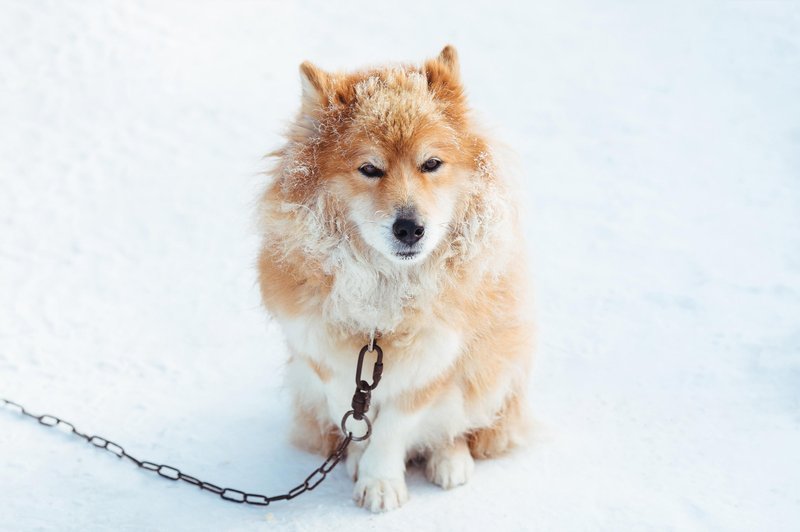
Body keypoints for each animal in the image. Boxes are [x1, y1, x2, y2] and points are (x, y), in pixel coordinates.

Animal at [258, 45, 532, 512]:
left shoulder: (433, 363)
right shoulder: (321, 356)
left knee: (459, 427)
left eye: (431, 164)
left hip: (490, 368)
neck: (385, 296)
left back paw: (449, 459)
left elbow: (393, 429)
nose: (409, 228)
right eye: (370, 169)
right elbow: (350, 413)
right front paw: (359, 460)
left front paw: (380, 481)